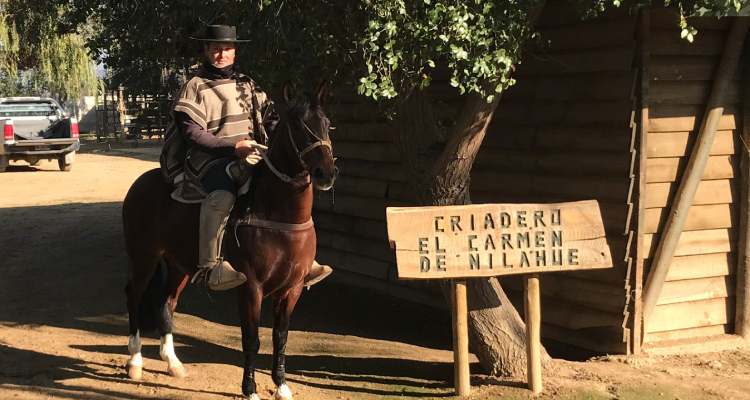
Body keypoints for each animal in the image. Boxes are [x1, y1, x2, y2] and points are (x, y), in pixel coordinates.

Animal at [121, 82, 338, 400]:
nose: (326, 173)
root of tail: (140, 184)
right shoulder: (251, 288)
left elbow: (280, 337)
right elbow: (252, 340)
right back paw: (135, 361)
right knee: (134, 295)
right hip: (143, 256)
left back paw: (173, 363)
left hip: (177, 266)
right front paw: (250, 390)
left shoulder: (293, 289)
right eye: (297, 126)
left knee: (166, 302)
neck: (277, 214)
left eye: (326, 123)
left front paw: (281, 386)